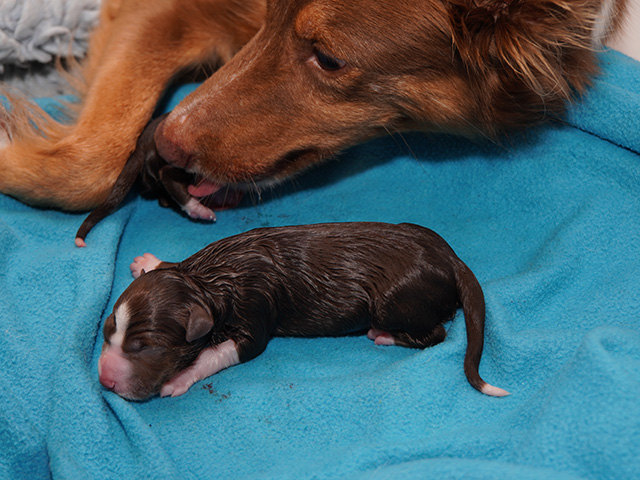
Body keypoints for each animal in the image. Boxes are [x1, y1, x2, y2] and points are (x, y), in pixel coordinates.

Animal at [97, 222, 509, 400]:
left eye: (147, 348)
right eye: (106, 332)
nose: (105, 382)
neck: (206, 283)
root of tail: (452, 260)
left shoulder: (255, 309)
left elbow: (221, 352)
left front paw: (179, 378)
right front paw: (149, 262)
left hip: (393, 303)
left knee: (436, 334)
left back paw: (385, 336)